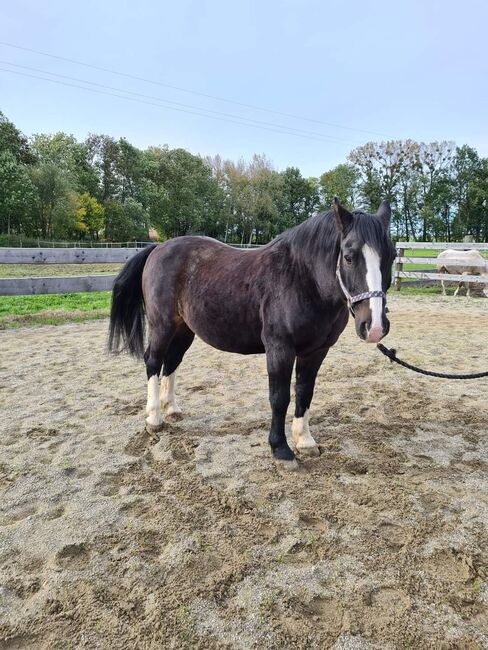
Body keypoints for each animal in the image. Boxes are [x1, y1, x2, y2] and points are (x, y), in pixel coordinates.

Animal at [107, 200, 396, 468]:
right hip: (162, 325)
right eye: (348, 256)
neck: (301, 279)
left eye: (392, 256)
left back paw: (172, 409)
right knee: (153, 361)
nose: (374, 326)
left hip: (184, 330)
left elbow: (305, 392)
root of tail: (158, 248)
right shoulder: (280, 349)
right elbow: (279, 398)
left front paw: (304, 441)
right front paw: (281, 449)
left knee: (172, 362)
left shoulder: (316, 352)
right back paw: (154, 418)